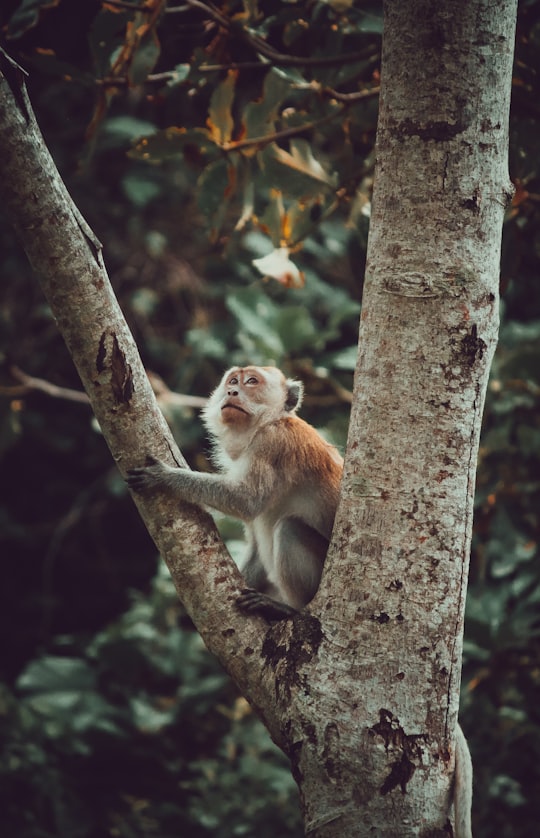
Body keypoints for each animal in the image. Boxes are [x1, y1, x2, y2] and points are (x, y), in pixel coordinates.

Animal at [126, 364, 342, 620]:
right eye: (232, 381)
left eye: (251, 381)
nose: (232, 392)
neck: (266, 423)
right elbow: (256, 547)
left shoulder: (273, 442)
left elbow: (246, 501)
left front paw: (164, 477)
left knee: (289, 527)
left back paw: (288, 610)